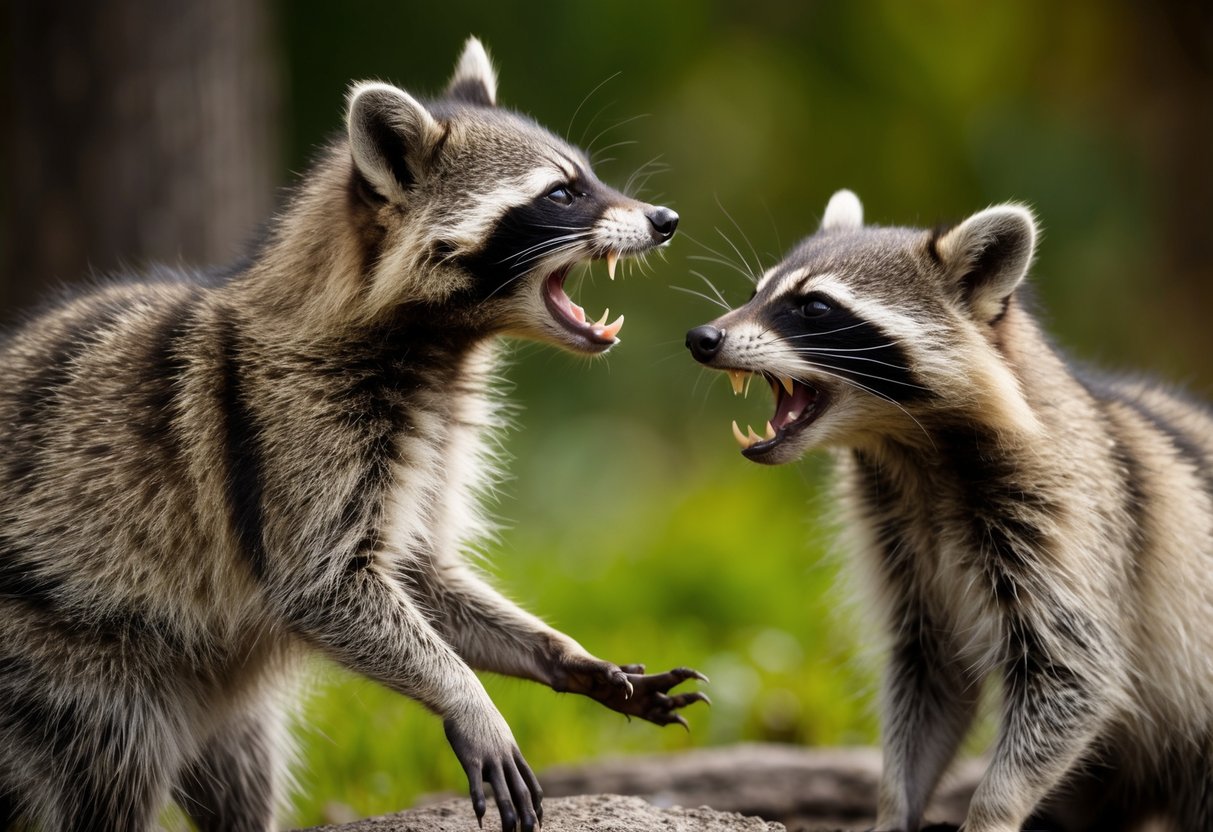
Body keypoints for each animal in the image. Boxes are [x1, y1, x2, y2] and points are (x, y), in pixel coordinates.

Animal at [0, 38, 705, 832]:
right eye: (560, 194)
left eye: (584, 177)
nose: (666, 218)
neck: (441, 347)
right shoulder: (293, 427)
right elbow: (325, 583)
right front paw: (464, 693)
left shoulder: (430, 447)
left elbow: (422, 574)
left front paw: (561, 654)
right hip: (71, 657)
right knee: (107, 763)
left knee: (242, 767)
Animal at [686, 190, 1213, 831]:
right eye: (756, 292)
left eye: (813, 307)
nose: (702, 338)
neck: (910, 453)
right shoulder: (902, 546)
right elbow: (929, 675)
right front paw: (895, 804)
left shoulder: (1071, 521)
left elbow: (1075, 674)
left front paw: (992, 810)